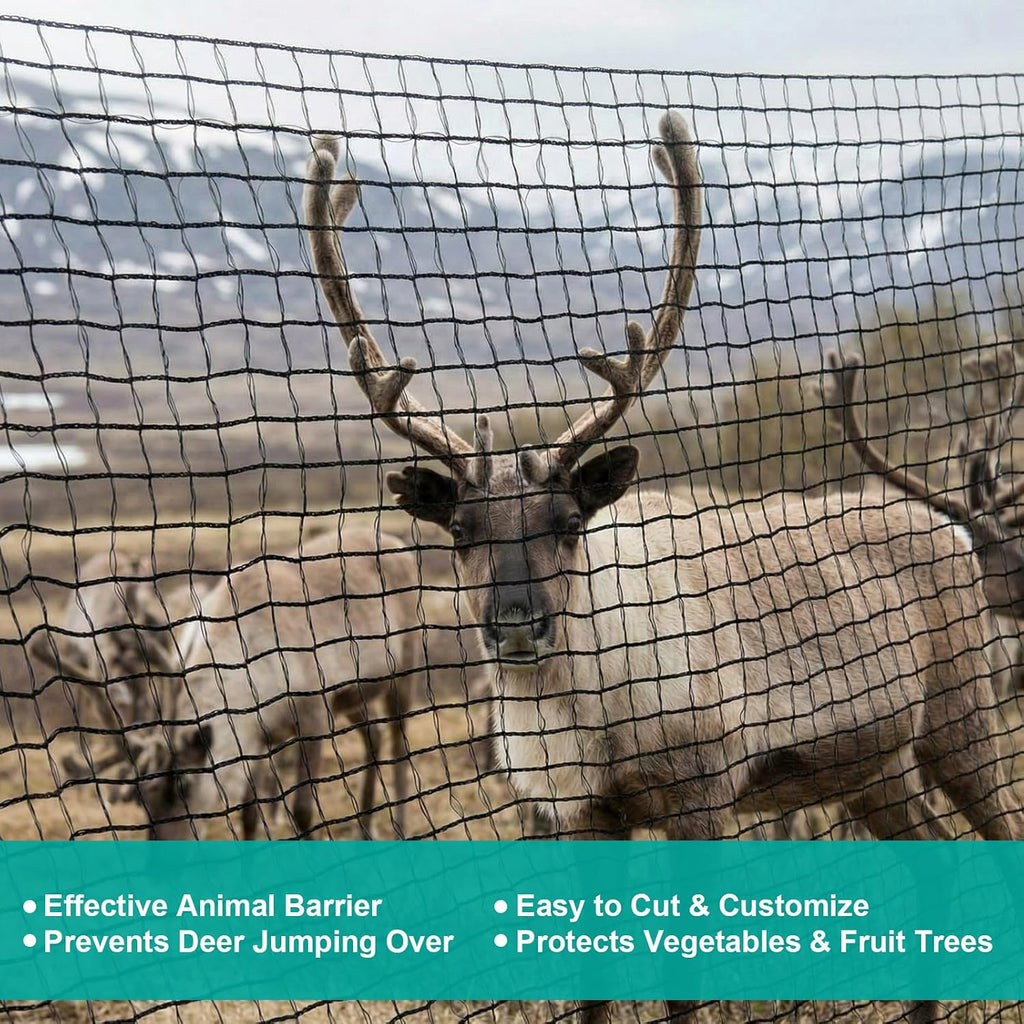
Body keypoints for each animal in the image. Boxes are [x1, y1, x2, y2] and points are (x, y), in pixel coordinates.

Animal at [130, 528, 423, 840]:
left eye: (182, 787)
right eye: (144, 801)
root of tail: (396, 542)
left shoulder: (314, 719)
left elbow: (302, 811)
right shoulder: (257, 737)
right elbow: (249, 816)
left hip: (403, 672)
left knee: (399, 742)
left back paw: (400, 826)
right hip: (352, 695)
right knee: (374, 735)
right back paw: (364, 829)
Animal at [304, 112, 1024, 1024]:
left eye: (568, 523)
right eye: (460, 530)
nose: (516, 625)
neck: (583, 715)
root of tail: (950, 532)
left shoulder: (700, 794)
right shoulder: (582, 816)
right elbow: (591, 990)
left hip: (963, 719)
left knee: (998, 829)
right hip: (875, 763)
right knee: (934, 856)